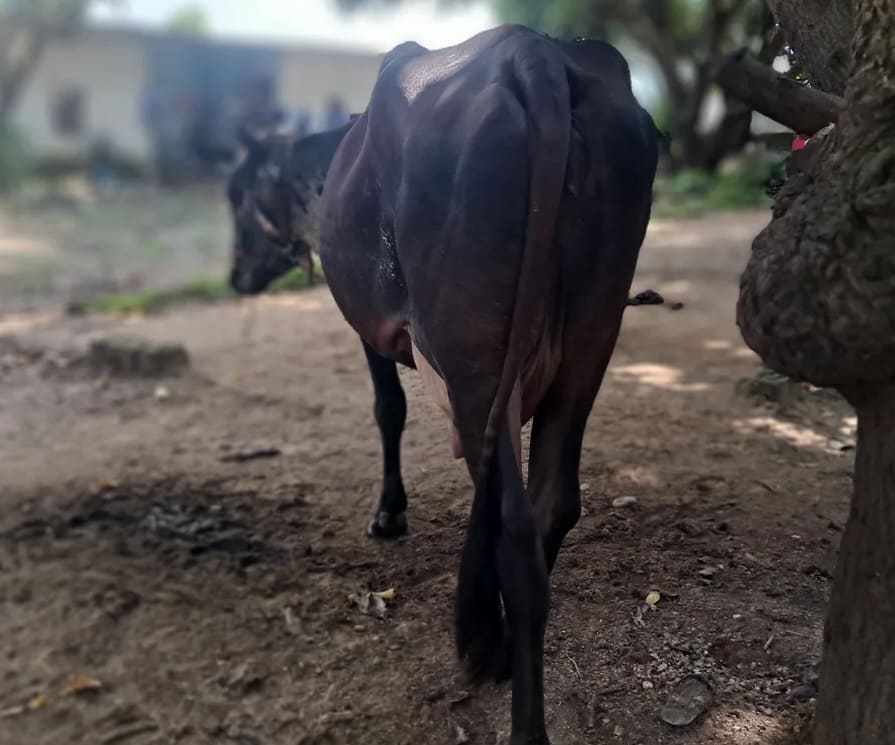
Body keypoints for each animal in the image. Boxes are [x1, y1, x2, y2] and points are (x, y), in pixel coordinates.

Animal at [227, 25, 659, 745]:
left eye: (234, 198)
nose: (233, 277)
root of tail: (534, 53)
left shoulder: (370, 326)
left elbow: (388, 409)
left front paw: (388, 512)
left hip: (474, 351)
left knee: (514, 523)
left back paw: (520, 713)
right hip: (591, 336)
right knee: (553, 503)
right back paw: (504, 647)